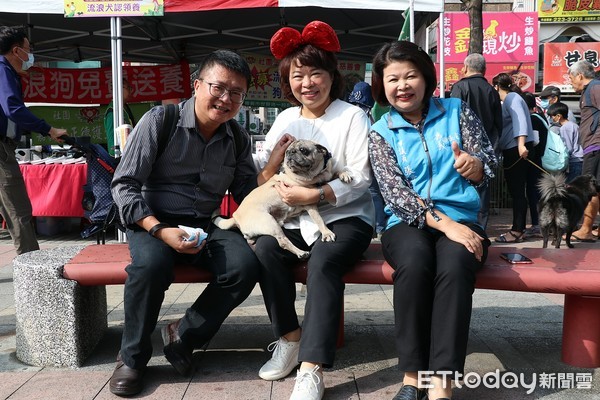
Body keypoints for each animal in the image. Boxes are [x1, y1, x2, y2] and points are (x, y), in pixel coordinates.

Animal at [213, 141, 352, 260]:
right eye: (287, 152)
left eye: (303, 150)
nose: (290, 153)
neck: (315, 176)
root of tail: (236, 217)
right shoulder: (310, 203)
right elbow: (319, 220)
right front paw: (326, 233)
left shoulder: (327, 177)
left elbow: (335, 173)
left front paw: (344, 174)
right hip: (270, 222)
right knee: (283, 242)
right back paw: (301, 253)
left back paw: (252, 239)